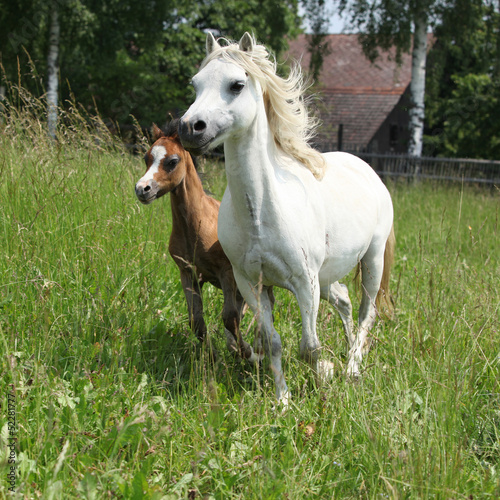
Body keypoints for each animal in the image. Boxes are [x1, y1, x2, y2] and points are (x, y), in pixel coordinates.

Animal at [179, 33, 394, 404]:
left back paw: (352, 368)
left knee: (367, 311)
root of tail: (367, 169)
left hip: (372, 260)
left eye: (236, 84)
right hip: (328, 275)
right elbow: (273, 342)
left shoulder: (305, 283)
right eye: (195, 84)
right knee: (344, 302)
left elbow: (310, 347)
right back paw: (348, 352)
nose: (190, 127)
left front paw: (323, 382)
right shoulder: (252, 284)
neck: (261, 214)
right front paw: (282, 399)